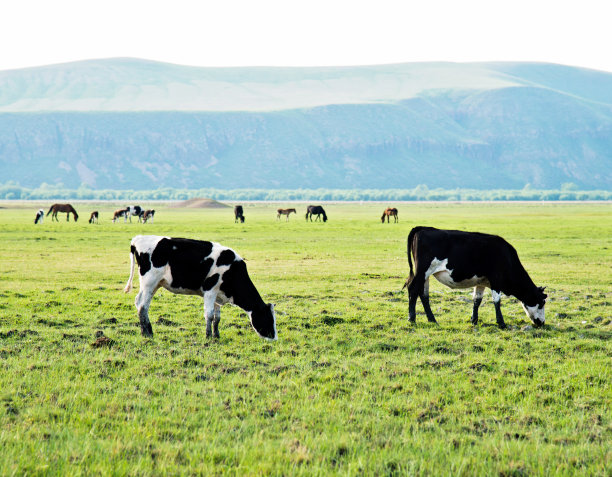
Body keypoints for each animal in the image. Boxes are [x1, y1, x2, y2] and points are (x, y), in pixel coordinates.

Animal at [124, 233, 278, 338]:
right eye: (268, 318)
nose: (274, 337)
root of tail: (138, 239)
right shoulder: (210, 291)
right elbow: (209, 315)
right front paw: (208, 336)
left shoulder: (217, 294)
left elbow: (217, 317)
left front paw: (216, 335)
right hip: (149, 282)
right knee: (143, 306)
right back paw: (146, 333)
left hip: (155, 284)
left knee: (139, 302)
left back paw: (147, 331)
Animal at [404, 226, 548, 328]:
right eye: (542, 303)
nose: (542, 323)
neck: (507, 258)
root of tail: (424, 228)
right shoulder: (496, 280)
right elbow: (497, 301)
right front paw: (501, 323)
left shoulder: (481, 281)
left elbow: (477, 300)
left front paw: (474, 320)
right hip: (422, 271)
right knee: (413, 289)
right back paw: (412, 319)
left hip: (425, 275)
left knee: (424, 295)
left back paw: (432, 319)